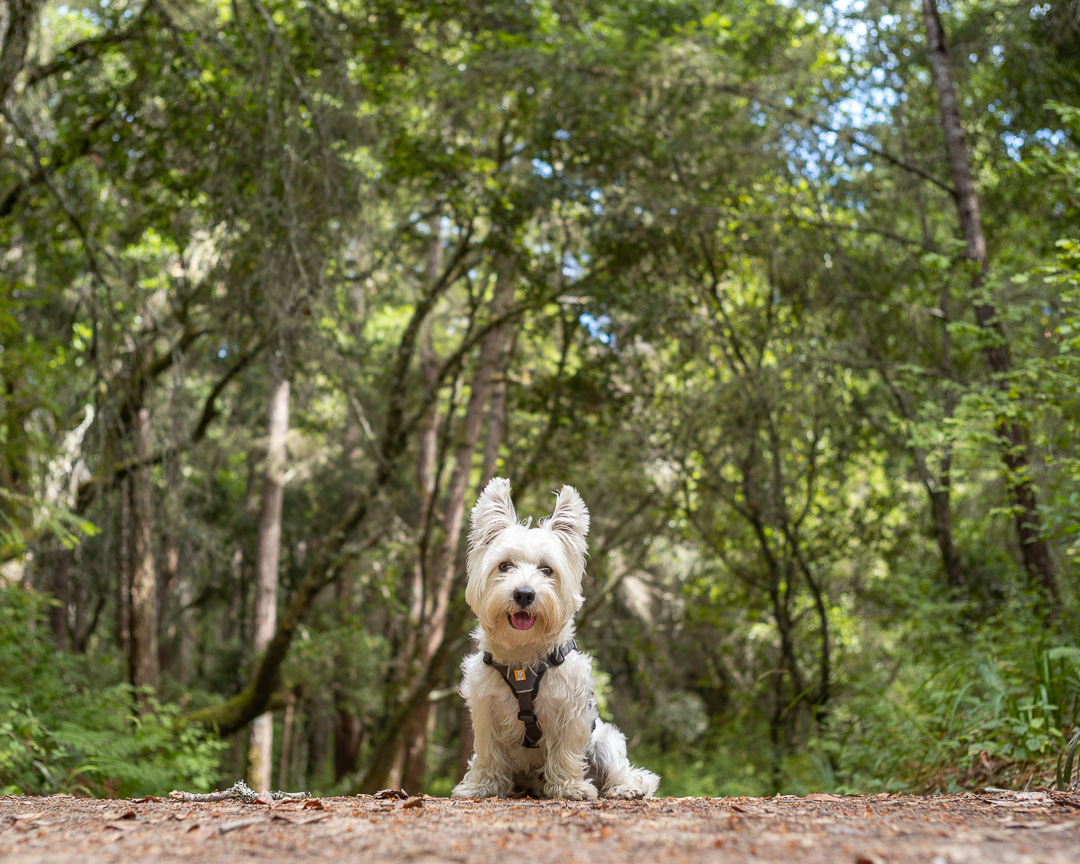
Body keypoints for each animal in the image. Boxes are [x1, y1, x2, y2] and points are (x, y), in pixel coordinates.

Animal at [447, 475, 656, 799]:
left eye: (547, 569)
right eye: (504, 565)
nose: (524, 594)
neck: (523, 654)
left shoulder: (571, 708)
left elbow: (565, 750)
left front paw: (570, 786)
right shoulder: (485, 708)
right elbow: (488, 751)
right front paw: (481, 786)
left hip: (606, 741)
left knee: (630, 773)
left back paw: (625, 788)